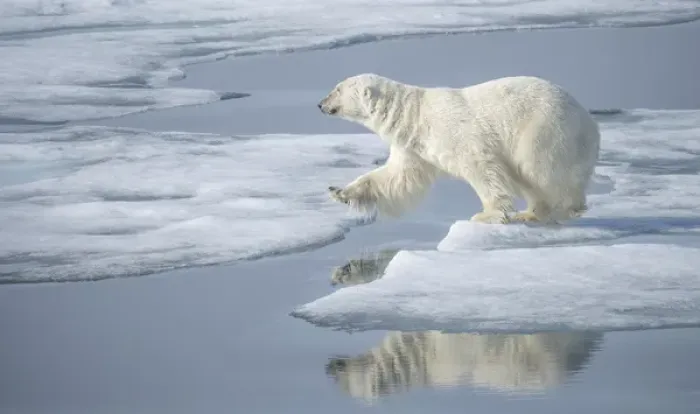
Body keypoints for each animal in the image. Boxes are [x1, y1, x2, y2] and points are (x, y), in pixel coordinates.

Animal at [317, 74, 600, 224]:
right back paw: (531, 213)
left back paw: (557, 209)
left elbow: (480, 166)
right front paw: (340, 192)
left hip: (544, 128)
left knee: (539, 169)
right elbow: (397, 178)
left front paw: (487, 215)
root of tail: (590, 122)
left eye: (337, 89)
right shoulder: (414, 148)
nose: (320, 104)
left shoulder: (454, 131)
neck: (415, 116)